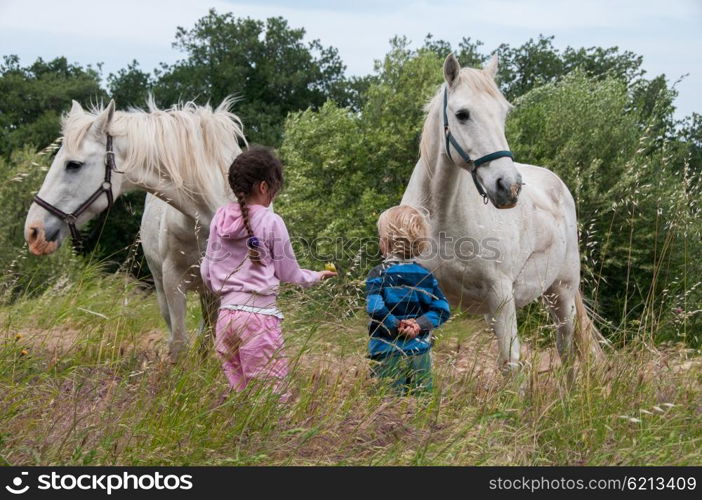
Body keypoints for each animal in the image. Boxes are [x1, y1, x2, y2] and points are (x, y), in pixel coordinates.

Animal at [404, 54, 608, 376]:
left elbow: (511, 365)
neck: (440, 218)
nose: (508, 187)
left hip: (561, 295)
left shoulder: (501, 294)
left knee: (566, 352)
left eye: (503, 114)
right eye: (462, 114)